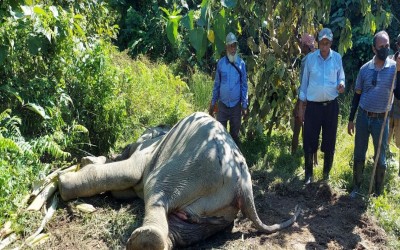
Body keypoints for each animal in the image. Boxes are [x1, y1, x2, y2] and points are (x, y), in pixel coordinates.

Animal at [57, 112, 298, 249]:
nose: (119, 151)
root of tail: (244, 187)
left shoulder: (147, 153)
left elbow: (129, 173)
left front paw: (61, 180)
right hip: (216, 215)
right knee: (184, 229)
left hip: (186, 171)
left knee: (157, 192)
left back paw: (145, 241)